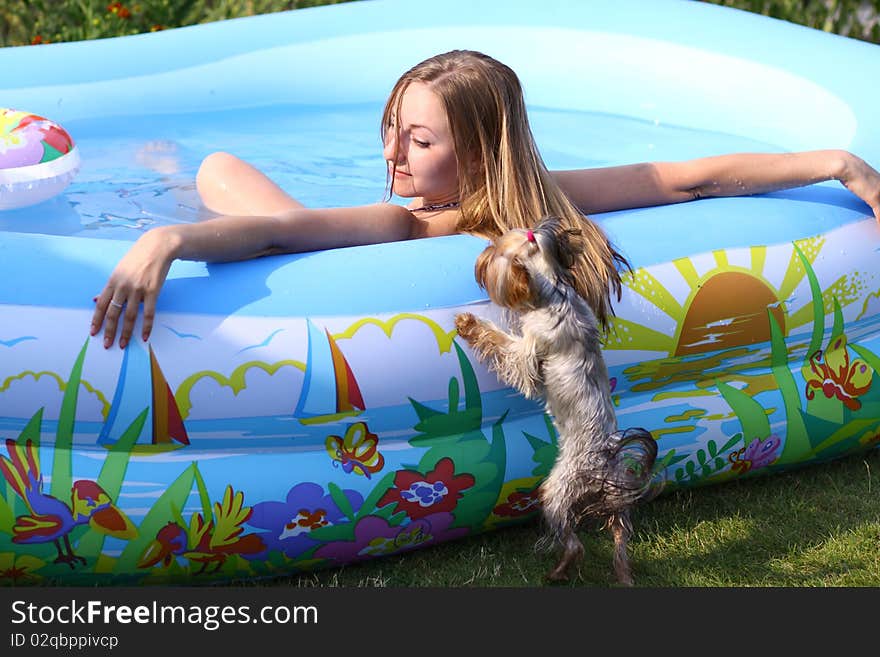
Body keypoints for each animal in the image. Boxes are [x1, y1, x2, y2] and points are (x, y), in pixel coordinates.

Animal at [458, 217, 656, 584]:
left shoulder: (527, 354)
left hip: (558, 488)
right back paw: (622, 573)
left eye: (495, 251)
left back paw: (558, 571)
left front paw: (468, 323)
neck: (552, 292)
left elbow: (502, 345)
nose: (481, 257)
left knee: (573, 542)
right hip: (615, 501)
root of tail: (606, 461)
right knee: (619, 534)